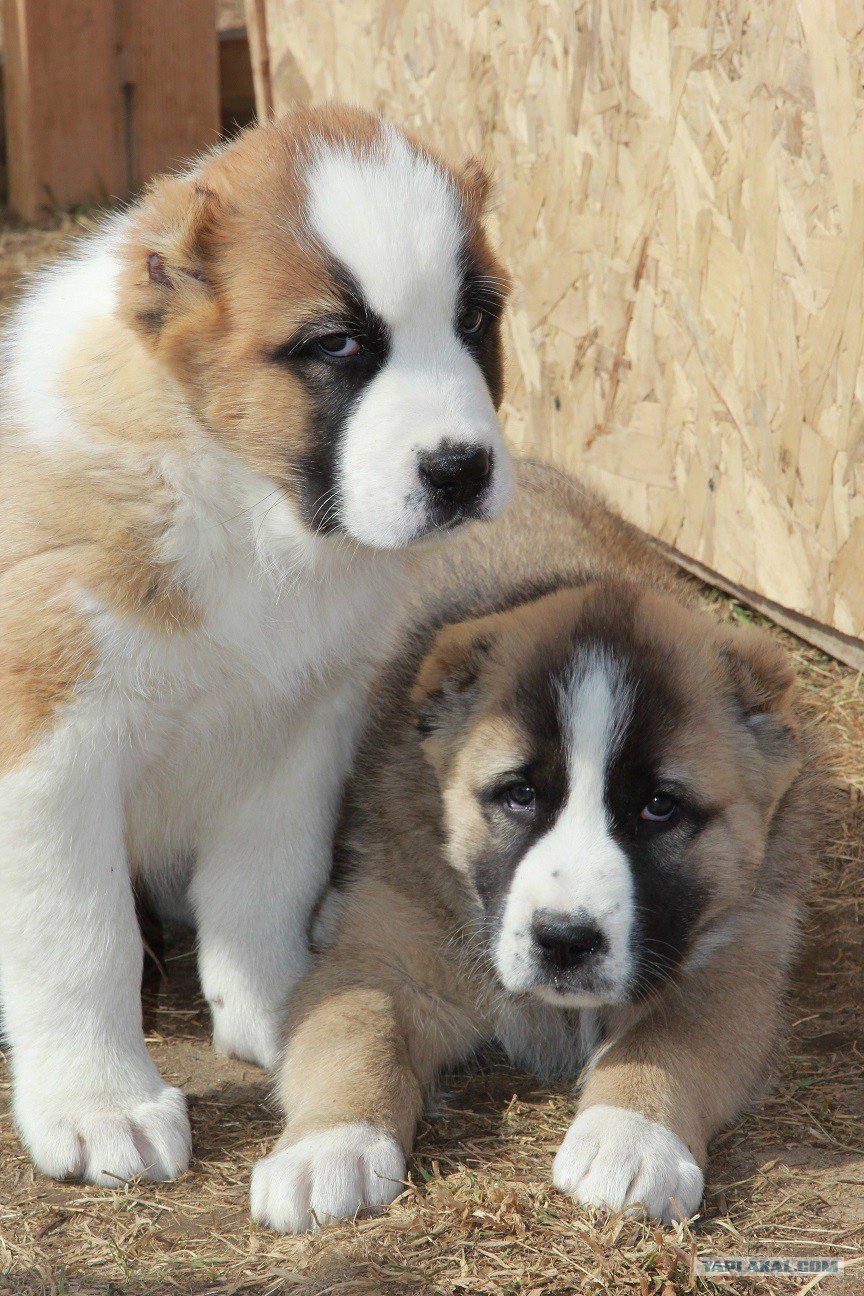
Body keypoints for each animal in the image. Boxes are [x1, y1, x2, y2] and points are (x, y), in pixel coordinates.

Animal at [0, 108, 512, 1187]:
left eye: (476, 319)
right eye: (335, 344)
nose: (460, 469)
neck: (238, 498)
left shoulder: (299, 730)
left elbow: (264, 882)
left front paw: (288, 1008)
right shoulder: (49, 749)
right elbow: (79, 934)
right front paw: (99, 1101)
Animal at [251, 461, 829, 1228]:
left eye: (660, 806)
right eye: (519, 794)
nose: (565, 941)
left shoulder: (734, 970)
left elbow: (667, 1042)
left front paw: (630, 1137)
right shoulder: (383, 962)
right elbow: (354, 1038)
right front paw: (327, 1147)